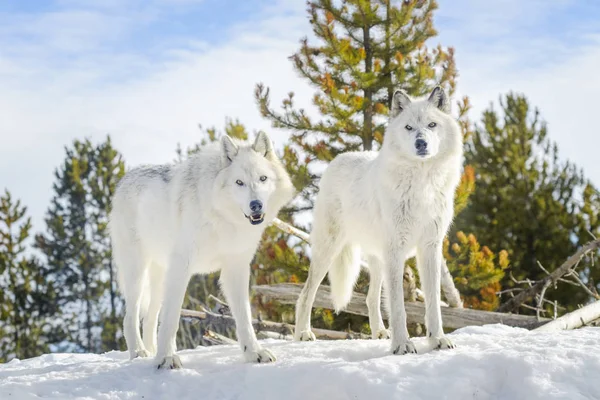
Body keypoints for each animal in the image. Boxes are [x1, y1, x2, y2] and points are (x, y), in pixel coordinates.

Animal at [110, 132, 296, 368]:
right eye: (239, 182)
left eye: (263, 179)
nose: (256, 205)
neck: (221, 216)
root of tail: (124, 179)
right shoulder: (181, 266)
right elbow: (171, 319)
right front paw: (167, 358)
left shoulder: (236, 268)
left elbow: (244, 317)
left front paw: (254, 353)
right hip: (137, 274)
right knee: (130, 317)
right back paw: (139, 352)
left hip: (159, 280)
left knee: (150, 319)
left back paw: (151, 352)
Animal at [296, 86, 464, 354]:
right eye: (408, 127)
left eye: (432, 124)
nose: (421, 143)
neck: (422, 185)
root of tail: (338, 159)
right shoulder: (396, 250)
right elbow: (398, 307)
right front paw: (402, 345)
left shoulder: (429, 248)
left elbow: (434, 303)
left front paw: (437, 339)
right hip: (328, 252)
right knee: (306, 294)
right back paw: (302, 333)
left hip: (377, 260)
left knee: (370, 298)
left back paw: (379, 332)